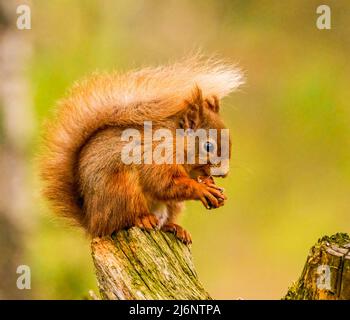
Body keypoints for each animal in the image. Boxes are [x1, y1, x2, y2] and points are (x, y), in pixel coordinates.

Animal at [39, 57, 243, 242]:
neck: (175, 142)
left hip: (171, 207)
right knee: (124, 220)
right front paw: (202, 189)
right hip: (122, 190)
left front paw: (212, 186)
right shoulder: (156, 157)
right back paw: (143, 219)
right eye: (208, 146)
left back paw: (175, 228)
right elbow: (164, 183)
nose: (224, 173)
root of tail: (93, 224)